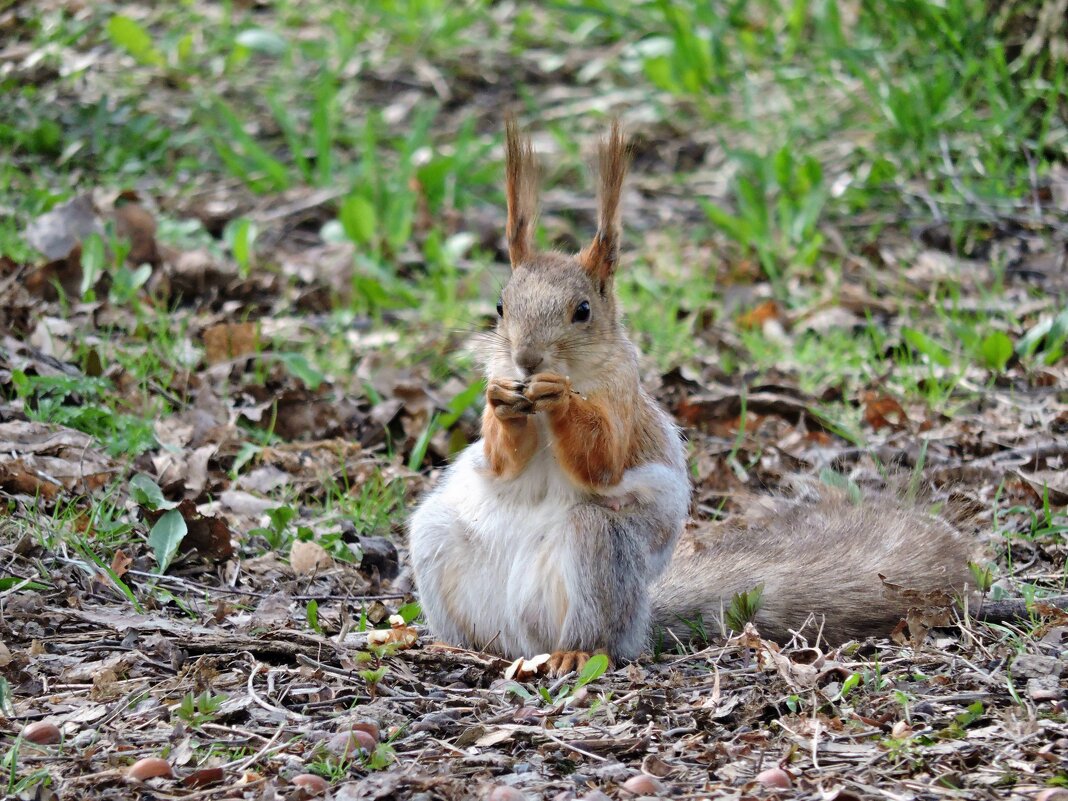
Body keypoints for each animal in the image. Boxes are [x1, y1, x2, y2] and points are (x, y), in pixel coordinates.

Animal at [407, 115, 978, 674]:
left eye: (582, 311)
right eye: (501, 307)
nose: (527, 361)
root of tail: (526, 641)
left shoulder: (622, 399)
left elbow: (602, 462)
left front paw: (560, 398)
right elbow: (502, 462)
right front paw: (503, 402)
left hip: (598, 549)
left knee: (597, 626)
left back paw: (575, 651)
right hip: (436, 539)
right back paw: (455, 647)